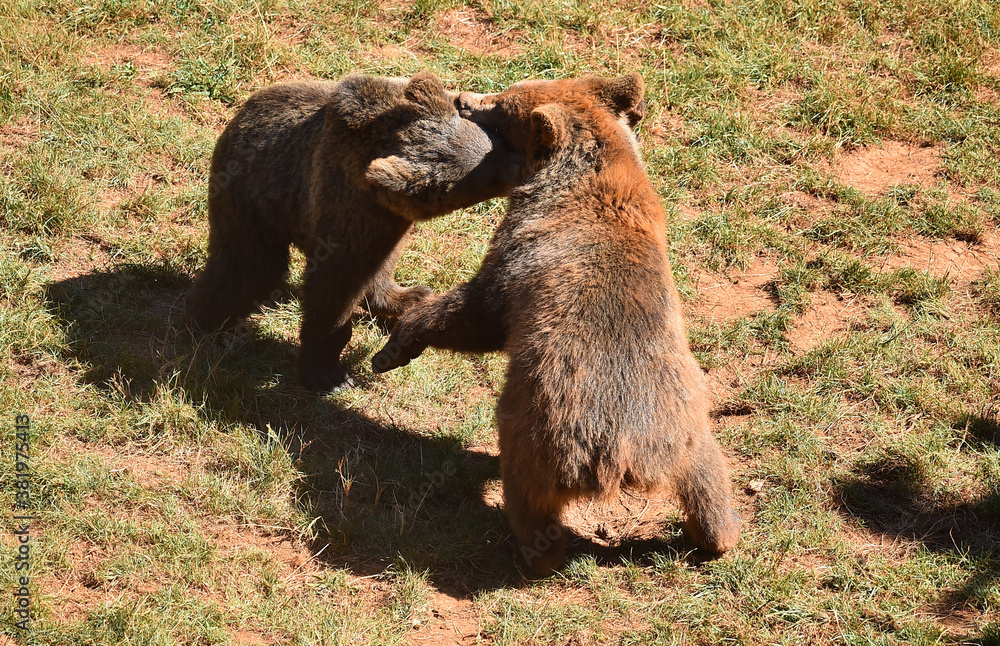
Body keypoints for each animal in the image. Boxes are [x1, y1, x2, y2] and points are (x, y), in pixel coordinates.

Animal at [184, 72, 523, 391]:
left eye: (495, 139)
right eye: (488, 175)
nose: (522, 167)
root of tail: (241, 113)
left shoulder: (385, 218)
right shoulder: (344, 202)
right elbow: (334, 282)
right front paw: (328, 372)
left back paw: (408, 295)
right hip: (254, 198)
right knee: (249, 266)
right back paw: (215, 324)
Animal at [372, 73, 740, 577]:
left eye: (502, 103)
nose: (464, 99)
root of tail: (624, 456)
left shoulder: (522, 257)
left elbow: (477, 313)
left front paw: (394, 346)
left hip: (544, 428)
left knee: (528, 491)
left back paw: (532, 550)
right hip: (687, 426)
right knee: (710, 482)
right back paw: (717, 537)